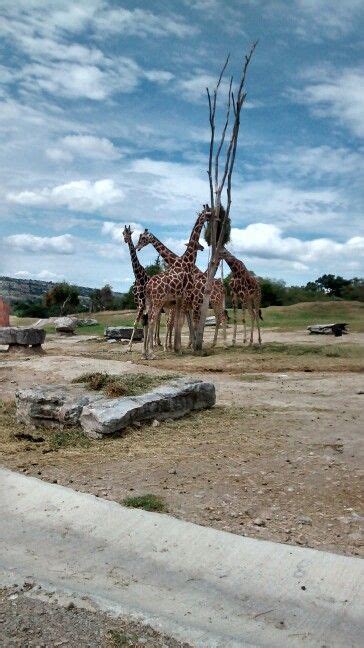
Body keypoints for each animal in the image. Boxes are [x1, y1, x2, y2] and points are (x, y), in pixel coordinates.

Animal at [142, 206, 210, 360]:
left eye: (142, 238)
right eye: (208, 212)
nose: (138, 246)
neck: (185, 262)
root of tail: (148, 286)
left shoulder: (179, 299)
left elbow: (179, 322)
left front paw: (176, 348)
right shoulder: (182, 298)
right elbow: (178, 322)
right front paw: (177, 348)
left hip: (154, 302)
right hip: (159, 302)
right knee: (153, 320)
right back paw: (151, 353)